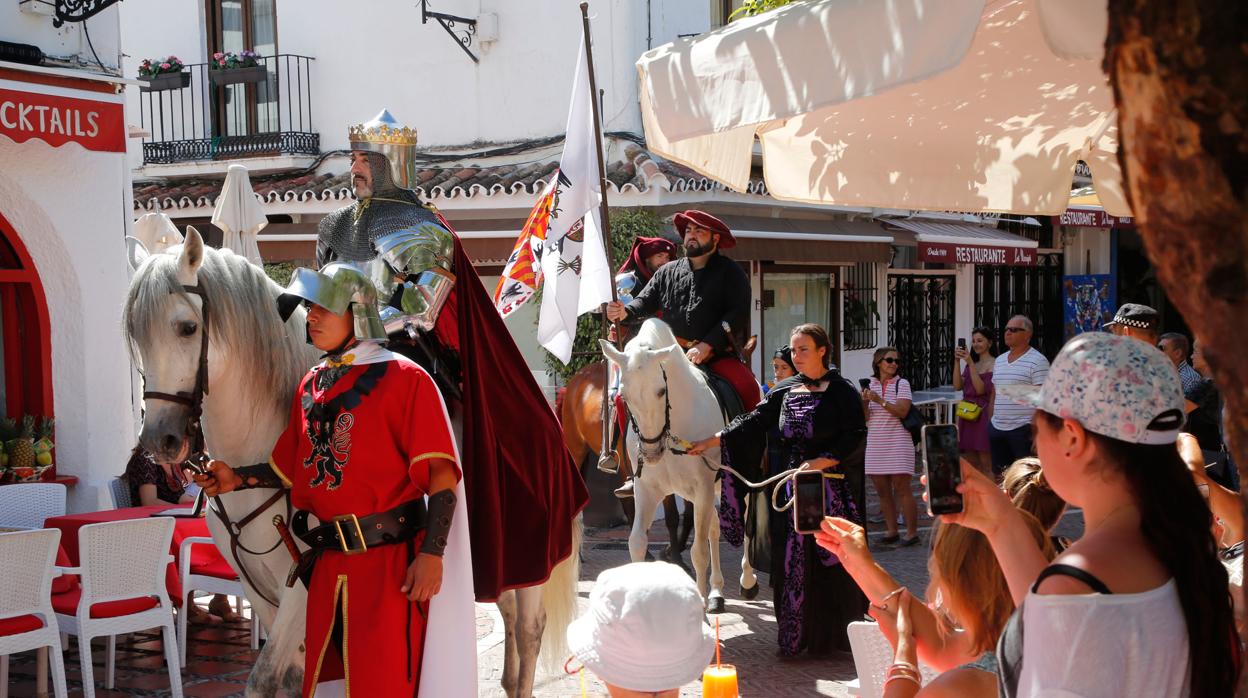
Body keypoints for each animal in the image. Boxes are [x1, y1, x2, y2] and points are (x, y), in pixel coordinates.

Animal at [121, 228, 579, 694]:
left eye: (187, 327)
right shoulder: (259, 591)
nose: (160, 439)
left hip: (532, 557)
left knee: (528, 627)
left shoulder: (303, 587)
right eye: (135, 334)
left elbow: (265, 679)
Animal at [559, 337, 753, 569]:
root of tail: (576, 380)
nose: (651, 450)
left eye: (662, 392)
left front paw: (672, 552)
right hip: (576, 449)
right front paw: (674, 556)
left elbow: (688, 516)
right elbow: (672, 517)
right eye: (625, 397)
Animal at [596, 322, 743, 611]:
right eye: (624, 396)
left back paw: (748, 581)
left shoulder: (703, 489)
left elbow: (699, 553)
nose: (651, 452)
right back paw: (717, 591)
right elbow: (637, 542)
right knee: (714, 528)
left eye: (661, 391)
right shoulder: (648, 490)